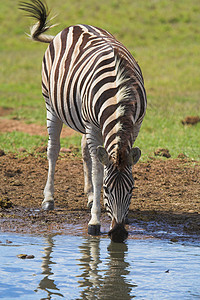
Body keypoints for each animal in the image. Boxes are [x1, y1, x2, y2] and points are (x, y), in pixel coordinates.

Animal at [19, 0, 147, 243]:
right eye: (107, 189)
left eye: (132, 189)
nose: (118, 234)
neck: (120, 94)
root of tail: (72, 27)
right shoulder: (93, 126)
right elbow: (98, 172)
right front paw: (95, 220)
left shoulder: (134, 126)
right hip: (52, 105)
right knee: (53, 150)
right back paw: (48, 199)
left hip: (82, 120)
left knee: (86, 151)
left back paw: (88, 196)